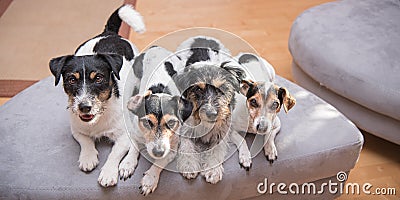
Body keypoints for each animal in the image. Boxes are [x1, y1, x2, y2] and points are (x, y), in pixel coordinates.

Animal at [126, 46, 192, 195]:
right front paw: (127, 164)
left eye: (172, 123)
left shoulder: (171, 149)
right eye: (146, 123)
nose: (158, 152)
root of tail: (154, 47)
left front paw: (150, 179)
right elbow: (133, 146)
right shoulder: (135, 132)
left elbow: (159, 163)